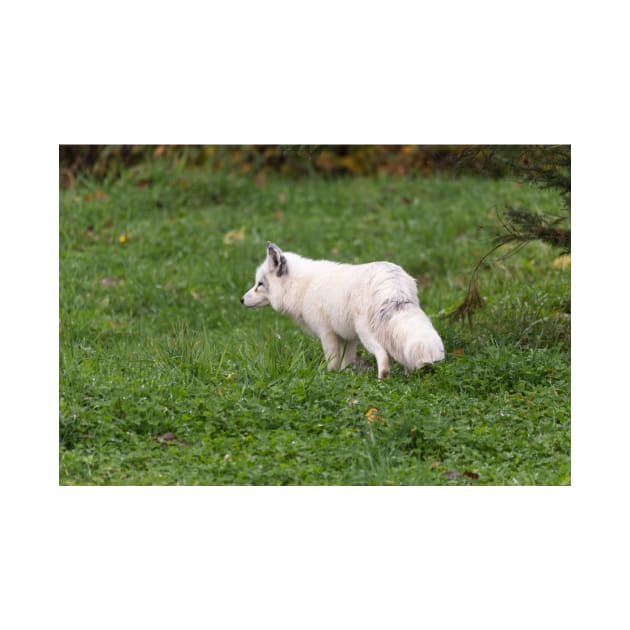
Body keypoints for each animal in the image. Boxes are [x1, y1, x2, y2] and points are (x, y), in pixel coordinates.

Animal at [239, 242, 446, 380]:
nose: (241, 300)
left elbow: (332, 362)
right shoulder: (348, 337)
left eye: (259, 284)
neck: (300, 287)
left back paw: (382, 379)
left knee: (383, 354)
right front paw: (346, 376)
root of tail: (391, 281)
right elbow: (347, 362)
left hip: (366, 333)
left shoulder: (327, 334)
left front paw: (330, 377)